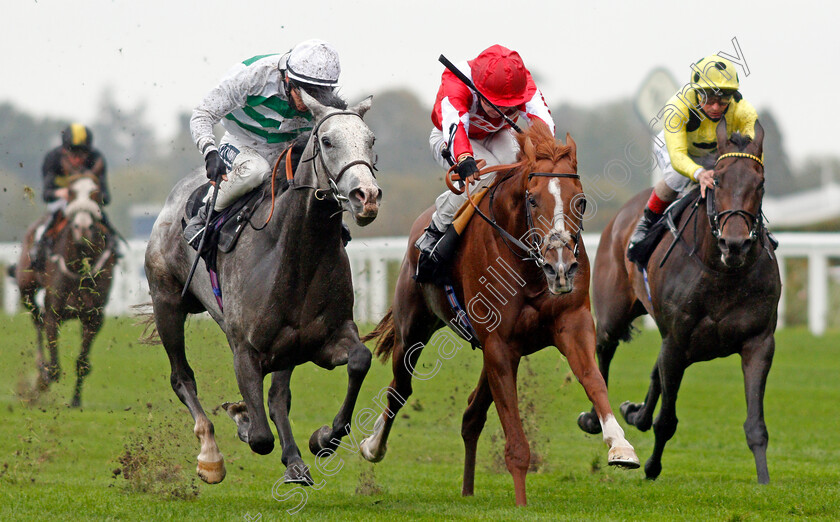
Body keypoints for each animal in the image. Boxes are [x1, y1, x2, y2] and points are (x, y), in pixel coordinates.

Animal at [11, 175, 118, 406]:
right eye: (70, 192)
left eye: (96, 193)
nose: (83, 227)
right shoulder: (55, 312)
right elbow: (54, 368)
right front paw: (40, 383)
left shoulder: (94, 317)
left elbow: (82, 363)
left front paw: (76, 400)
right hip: (26, 289)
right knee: (37, 320)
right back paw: (39, 366)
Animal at [144, 90, 380, 484]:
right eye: (327, 140)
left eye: (370, 139)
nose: (367, 196)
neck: (296, 256)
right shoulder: (244, 349)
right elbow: (258, 437)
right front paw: (241, 420)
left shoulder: (322, 340)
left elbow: (360, 360)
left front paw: (323, 438)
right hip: (167, 303)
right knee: (182, 378)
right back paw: (210, 455)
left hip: (286, 348)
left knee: (276, 397)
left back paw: (295, 460)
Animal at [358, 122, 640, 504]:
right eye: (532, 199)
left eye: (580, 200)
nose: (561, 268)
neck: (530, 268)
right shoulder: (499, 343)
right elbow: (516, 440)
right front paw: (521, 503)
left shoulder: (571, 324)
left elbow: (593, 379)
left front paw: (620, 446)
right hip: (413, 328)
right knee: (399, 388)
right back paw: (373, 446)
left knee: (471, 414)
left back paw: (467, 490)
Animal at [576, 119, 780, 484]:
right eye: (718, 180)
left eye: (760, 183)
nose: (735, 244)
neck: (722, 272)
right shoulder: (677, 341)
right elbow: (667, 421)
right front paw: (651, 466)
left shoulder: (758, 342)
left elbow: (756, 425)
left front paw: (764, 480)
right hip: (614, 310)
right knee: (603, 350)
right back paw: (594, 417)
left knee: (654, 374)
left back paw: (634, 412)